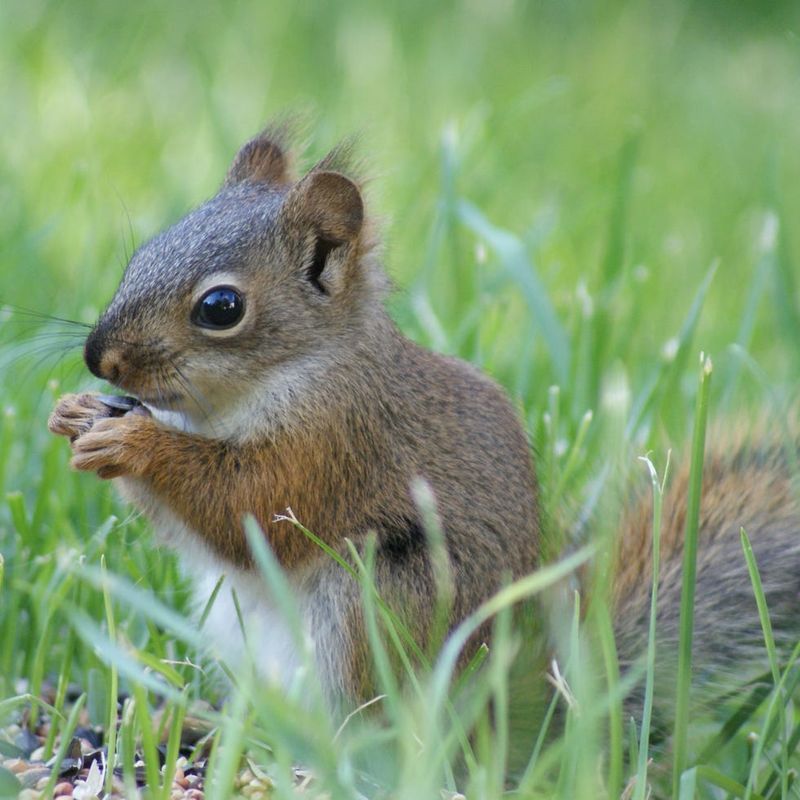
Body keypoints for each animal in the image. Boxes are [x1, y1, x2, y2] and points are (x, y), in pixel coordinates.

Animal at [48, 123, 800, 724]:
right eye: (144, 252)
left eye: (221, 307)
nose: (99, 356)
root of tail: (516, 716)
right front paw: (76, 414)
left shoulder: (334, 443)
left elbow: (248, 506)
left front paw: (134, 443)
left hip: (379, 605)